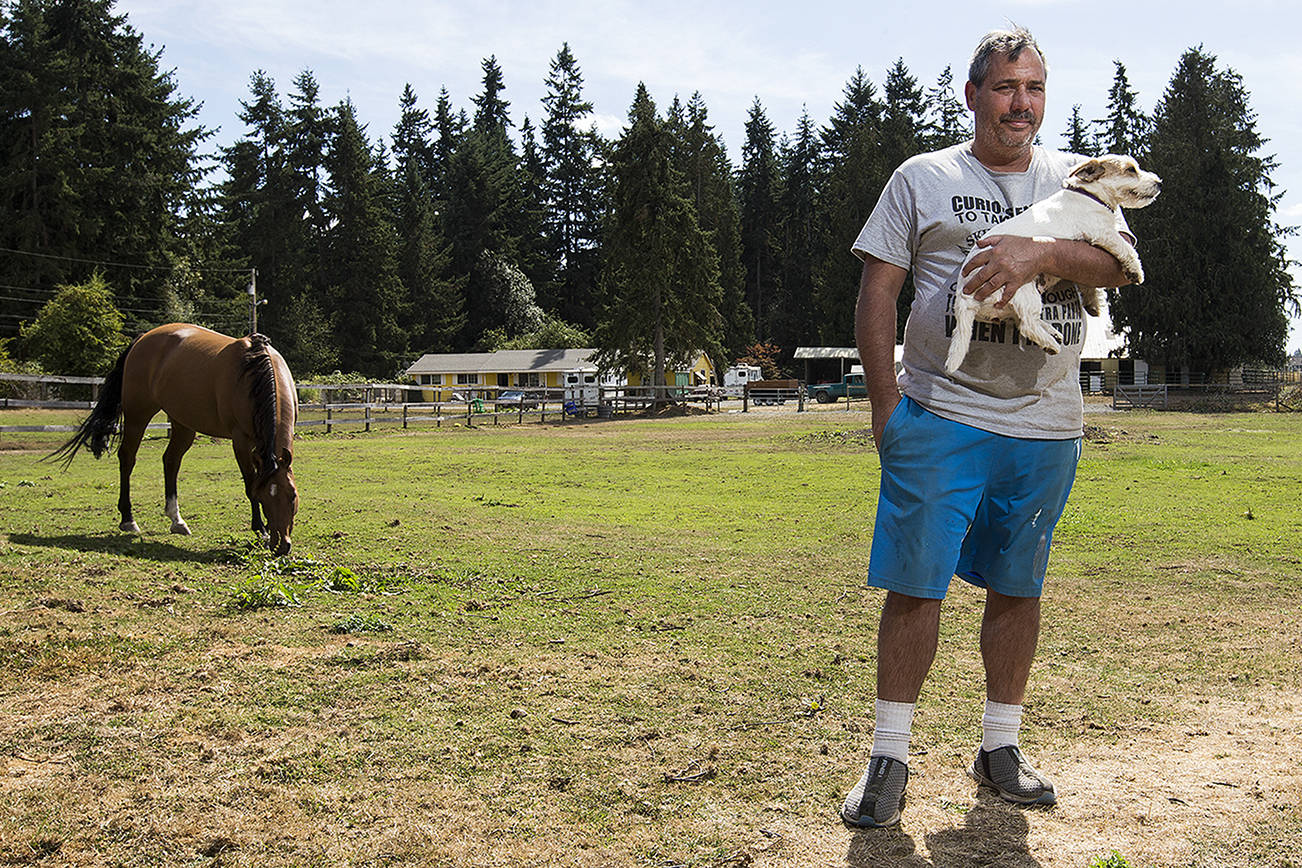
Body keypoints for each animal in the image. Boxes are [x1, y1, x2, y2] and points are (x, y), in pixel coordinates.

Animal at [52, 324, 298, 556]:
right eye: (263, 498)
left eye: (292, 495)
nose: (281, 546)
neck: (255, 372)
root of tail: (142, 339)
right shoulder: (240, 440)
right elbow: (249, 482)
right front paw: (261, 529)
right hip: (137, 415)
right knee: (128, 458)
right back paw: (128, 519)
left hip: (183, 424)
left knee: (170, 461)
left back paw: (176, 519)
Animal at [947, 155, 1161, 377]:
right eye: (1130, 170)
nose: (1159, 183)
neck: (1090, 195)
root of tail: (964, 300)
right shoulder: (1102, 232)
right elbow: (1127, 249)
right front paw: (1136, 271)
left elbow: (1088, 282)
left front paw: (1092, 302)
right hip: (1024, 290)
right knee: (1027, 325)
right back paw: (1050, 343)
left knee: (1022, 320)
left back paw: (1051, 332)